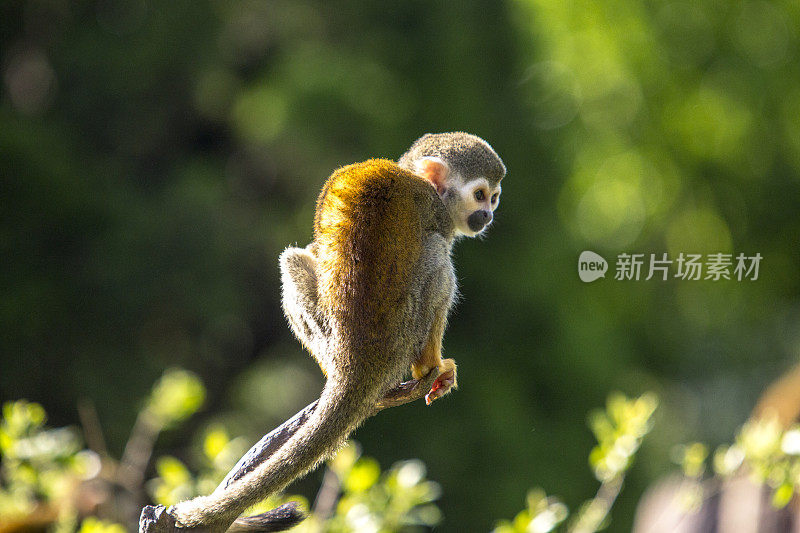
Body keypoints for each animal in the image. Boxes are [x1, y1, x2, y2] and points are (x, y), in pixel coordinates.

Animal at [169, 132, 506, 528]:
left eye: (494, 198)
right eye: (480, 195)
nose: (488, 215)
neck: (417, 178)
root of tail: (356, 360)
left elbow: (315, 252)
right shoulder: (436, 212)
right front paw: (434, 369)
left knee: (294, 259)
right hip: (405, 329)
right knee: (438, 258)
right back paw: (428, 366)